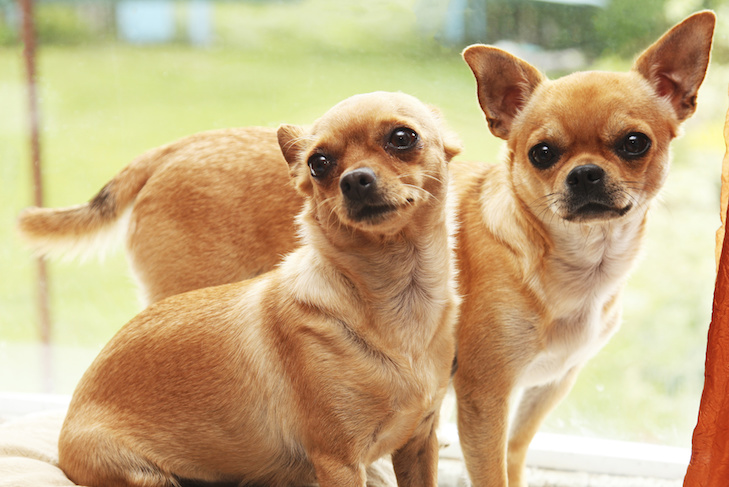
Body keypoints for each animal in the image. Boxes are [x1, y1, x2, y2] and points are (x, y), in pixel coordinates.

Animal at [57, 92, 458, 487]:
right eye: (318, 164)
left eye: (403, 138)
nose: (354, 179)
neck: (400, 296)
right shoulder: (340, 462)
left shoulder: (419, 442)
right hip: (144, 475)